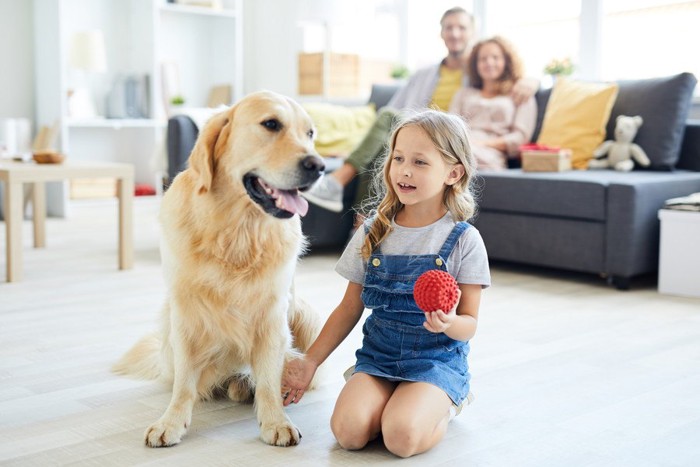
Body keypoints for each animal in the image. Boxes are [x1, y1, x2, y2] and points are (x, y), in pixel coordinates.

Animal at [113, 90, 326, 446]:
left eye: (310, 133)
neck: (236, 233)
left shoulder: (273, 315)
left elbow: (268, 381)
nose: (319, 166)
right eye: (271, 124)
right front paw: (171, 422)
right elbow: (184, 384)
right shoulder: (186, 313)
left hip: (308, 315)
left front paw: (275, 421)